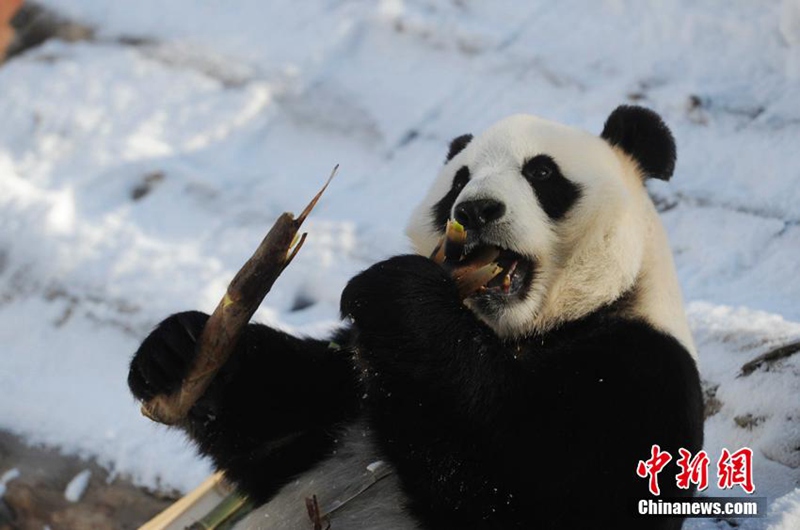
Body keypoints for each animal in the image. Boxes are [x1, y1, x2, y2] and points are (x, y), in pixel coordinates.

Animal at [128, 105, 704, 524]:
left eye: (541, 172)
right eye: (458, 181)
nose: (475, 210)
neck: (516, 333)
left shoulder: (637, 371)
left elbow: (540, 495)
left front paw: (397, 294)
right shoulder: (354, 379)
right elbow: (277, 426)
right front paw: (175, 350)